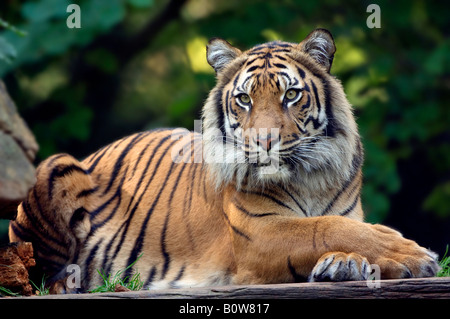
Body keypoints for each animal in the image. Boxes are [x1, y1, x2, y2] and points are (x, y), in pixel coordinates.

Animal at [7, 28, 440, 294]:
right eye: (244, 98)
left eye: (291, 95)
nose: (263, 142)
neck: (309, 178)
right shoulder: (260, 233)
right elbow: (324, 228)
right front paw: (416, 256)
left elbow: (343, 228)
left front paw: (347, 264)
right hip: (54, 167)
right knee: (36, 273)